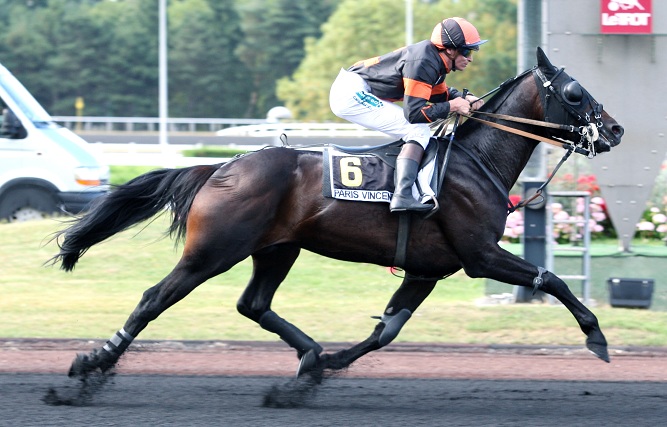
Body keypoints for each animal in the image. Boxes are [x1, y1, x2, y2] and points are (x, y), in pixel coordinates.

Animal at [52, 47, 628, 384]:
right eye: (575, 92)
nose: (616, 130)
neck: (474, 159)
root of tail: (222, 166)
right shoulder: (480, 255)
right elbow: (551, 278)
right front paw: (597, 338)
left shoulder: (427, 269)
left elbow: (387, 330)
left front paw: (326, 366)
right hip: (213, 250)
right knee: (154, 298)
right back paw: (93, 363)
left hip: (277, 249)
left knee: (253, 304)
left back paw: (310, 353)